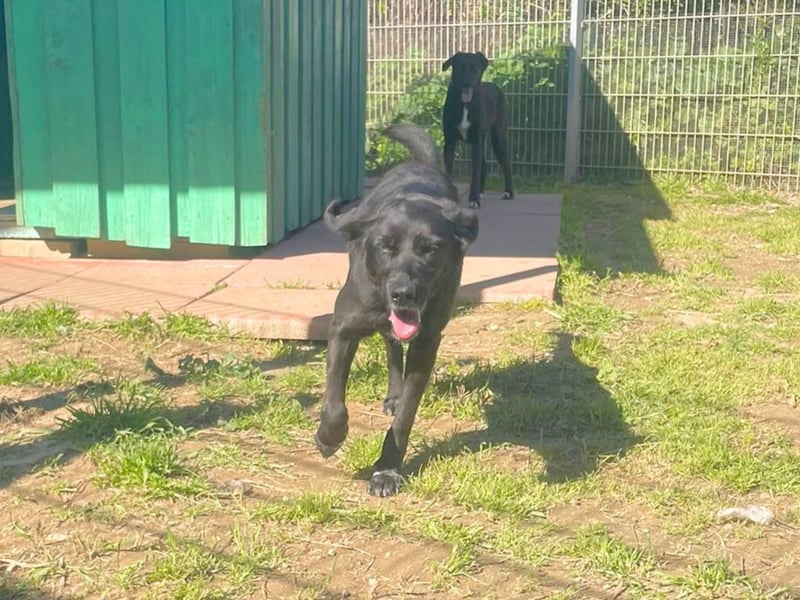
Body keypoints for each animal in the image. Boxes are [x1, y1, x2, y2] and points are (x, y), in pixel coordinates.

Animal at [315, 124, 478, 497]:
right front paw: (329, 437)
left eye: (432, 249)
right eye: (386, 246)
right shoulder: (343, 327)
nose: (404, 294)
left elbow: (406, 415)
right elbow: (334, 400)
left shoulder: (427, 342)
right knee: (390, 345)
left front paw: (387, 469)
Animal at [442, 51, 513, 208]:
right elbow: (448, 172)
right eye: (460, 67)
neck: (465, 105)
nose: (467, 83)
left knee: (506, 164)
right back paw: (481, 192)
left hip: (498, 137)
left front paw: (473, 199)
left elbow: (474, 174)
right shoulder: (450, 142)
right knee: (484, 165)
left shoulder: (476, 142)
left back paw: (509, 193)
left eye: (475, 69)